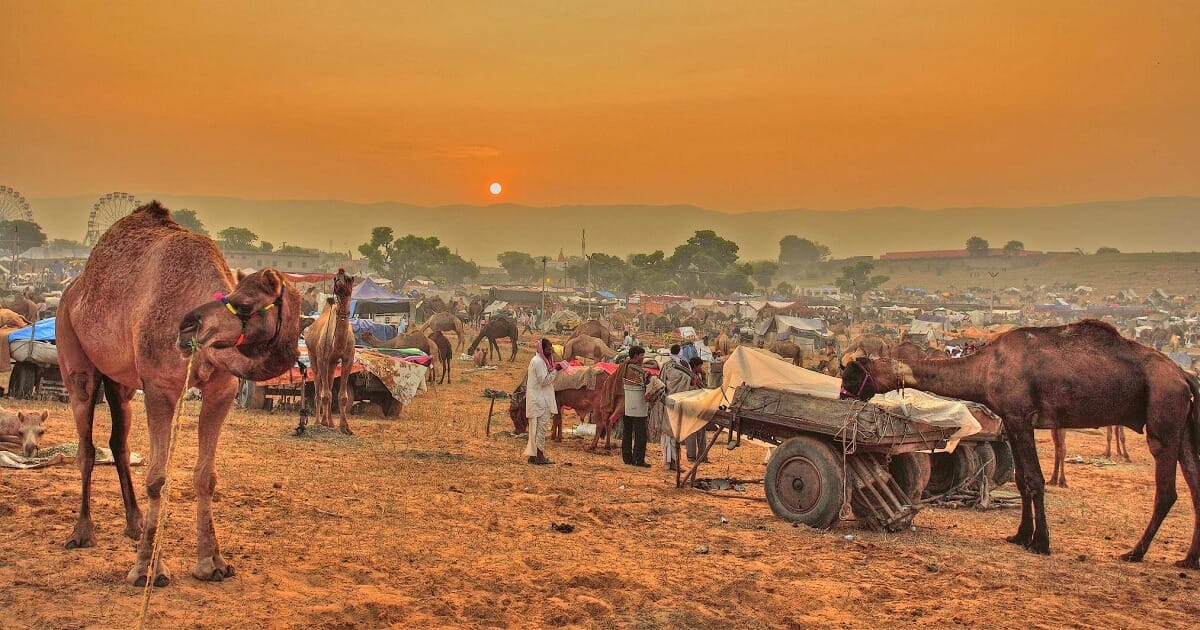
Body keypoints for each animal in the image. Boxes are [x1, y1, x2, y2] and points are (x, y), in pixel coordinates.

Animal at [56, 204, 304, 588]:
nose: (188, 326)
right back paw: (82, 533)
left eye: (245, 305)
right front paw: (147, 569)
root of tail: (73, 289)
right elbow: (158, 478)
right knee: (85, 442)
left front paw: (213, 563)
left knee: (119, 440)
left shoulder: (222, 390)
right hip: (72, 350)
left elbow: (206, 477)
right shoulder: (159, 387)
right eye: (231, 298)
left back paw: (135, 524)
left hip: (122, 381)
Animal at [302, 267, 352, 434]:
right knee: (319, 389)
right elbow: (324, 394)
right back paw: (319, 421)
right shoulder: (323, 358)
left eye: (349, 278)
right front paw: (323, 422)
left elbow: (342, 396)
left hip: (332, 363)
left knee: (329, 385)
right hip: (314, 357)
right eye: (335, 278)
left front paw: (345, 427)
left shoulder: (347, 359)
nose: (340, 279)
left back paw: (331, 422)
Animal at [840, 319, 1200, 564]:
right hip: (1182, 424)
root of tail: (1184, 375)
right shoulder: (1012, 422)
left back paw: (1135, 552)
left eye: (854, 376)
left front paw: (1041, 543)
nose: (842, 394)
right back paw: (1188, 560)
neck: (985, 367)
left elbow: (1034, 480)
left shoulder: (1020, 417)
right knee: (1194, 481)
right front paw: (1020, 535)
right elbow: (1021, 479)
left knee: (1167, 490)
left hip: (1164, 414)